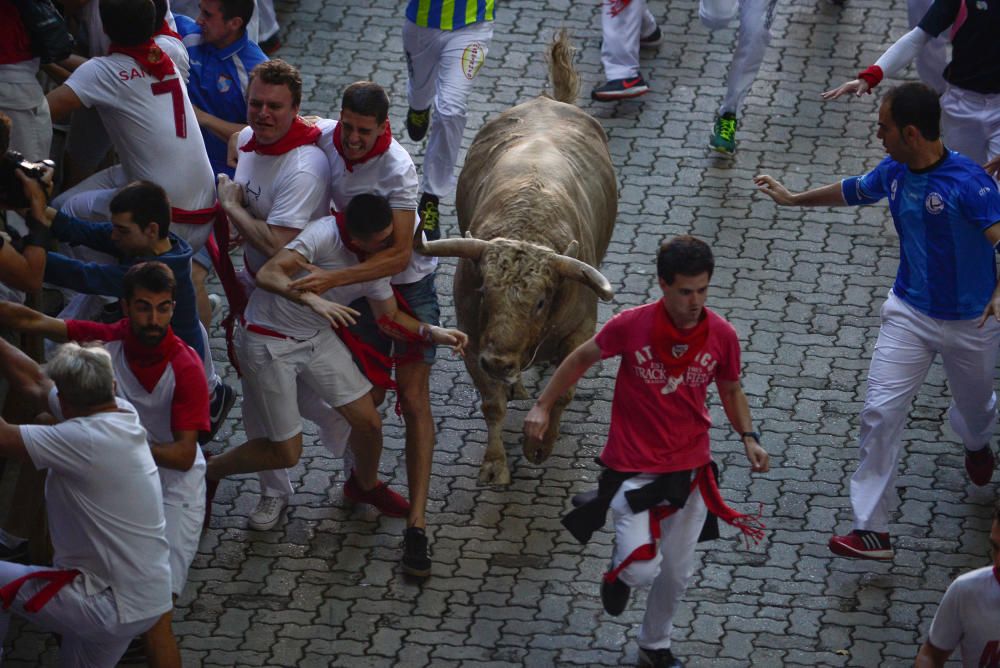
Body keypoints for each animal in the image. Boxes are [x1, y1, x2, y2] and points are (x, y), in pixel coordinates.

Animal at [416, 31, 616, 482]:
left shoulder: (581, 332)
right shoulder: (473, 338)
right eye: (484, 292)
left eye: (541, 301)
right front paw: (495, 463)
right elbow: (492, 403)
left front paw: (539, 445)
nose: (500, 361)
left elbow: (562, 393)